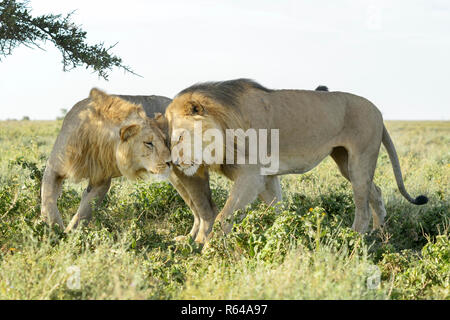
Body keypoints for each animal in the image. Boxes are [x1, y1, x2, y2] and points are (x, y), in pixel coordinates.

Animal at [40, 87, 218, 232]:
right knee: (197, 211)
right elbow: (48, 199)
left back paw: (195, 245)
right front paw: (52, 229)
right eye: (148, 143)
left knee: (207, 210)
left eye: (164, 140)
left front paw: (66, 234)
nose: (169, 161)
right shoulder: (54, 167)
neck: (96, 140)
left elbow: (85, 211)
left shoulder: (102, 181)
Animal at [166, 79, 428, 244]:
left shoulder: (251, 175)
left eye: (179, 137)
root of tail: (379, 112)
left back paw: (354, 238)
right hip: (345, 161)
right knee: (376, 191)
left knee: (362, 206)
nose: (173, 163)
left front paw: (207, 248)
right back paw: (379, 233)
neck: (225, 123)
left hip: (359, 160)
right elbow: (278, 210)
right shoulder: (266, 176)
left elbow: (224, 215)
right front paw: (287, 233)